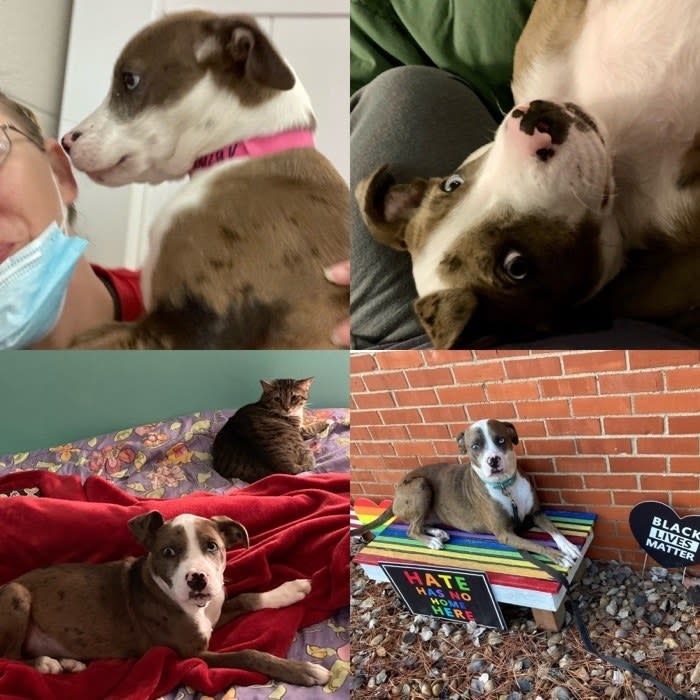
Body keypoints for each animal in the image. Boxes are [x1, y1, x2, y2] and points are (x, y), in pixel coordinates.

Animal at [0, 512, 330, 688]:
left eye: (212, 546)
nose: (196, 579)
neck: (194, 607)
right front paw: (302, 670)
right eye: (168, 552)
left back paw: (67, 662)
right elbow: (248, 654)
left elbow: (247, 598)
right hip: (17, 593)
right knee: (10, 658)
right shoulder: (191, 654)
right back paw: (47, 663)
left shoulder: (213, 614)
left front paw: (290, 590)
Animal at [352, 422, 584, 568]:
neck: (505, 486)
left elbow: (553, 529)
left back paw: (437, 532)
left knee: (418, 523)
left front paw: (568, 546)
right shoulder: (505, 534)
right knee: (411, 529)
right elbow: (537, 544)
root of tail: (396, 492)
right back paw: (432, 541)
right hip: (420, 485)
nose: (493, 460)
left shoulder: (536, 513)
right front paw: (559, 556)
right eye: (475, 446)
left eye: (501, 440)